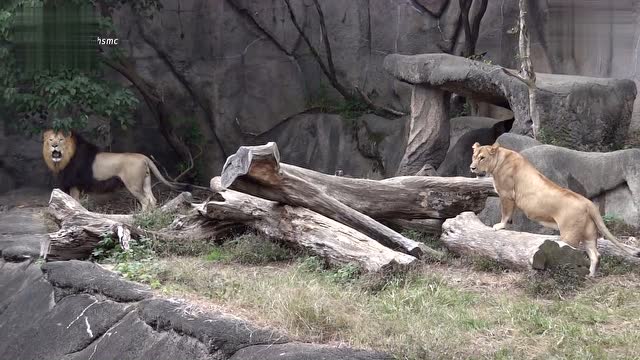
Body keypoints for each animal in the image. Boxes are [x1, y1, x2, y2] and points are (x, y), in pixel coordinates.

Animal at [42, 129, 188, 211]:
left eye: (61, 139)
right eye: (51, 140)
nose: (54, 145)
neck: (66, 158)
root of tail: (144, 157)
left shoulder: (74, 184)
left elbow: (74, 202)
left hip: (133, 184)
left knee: (145, 201)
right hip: (146, 182)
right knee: (152, 199)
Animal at [468, 142, 636, 278]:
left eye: (482, 158)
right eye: (473, 156)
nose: (472, 167)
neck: (501, 157)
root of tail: (587, 202)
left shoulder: (506, 194)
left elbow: (505, 212)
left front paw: (500, 226)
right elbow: (510, 215)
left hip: (569, 233)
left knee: (572, 252)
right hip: (589, 234)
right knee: (596, 255)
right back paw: (590, 275)